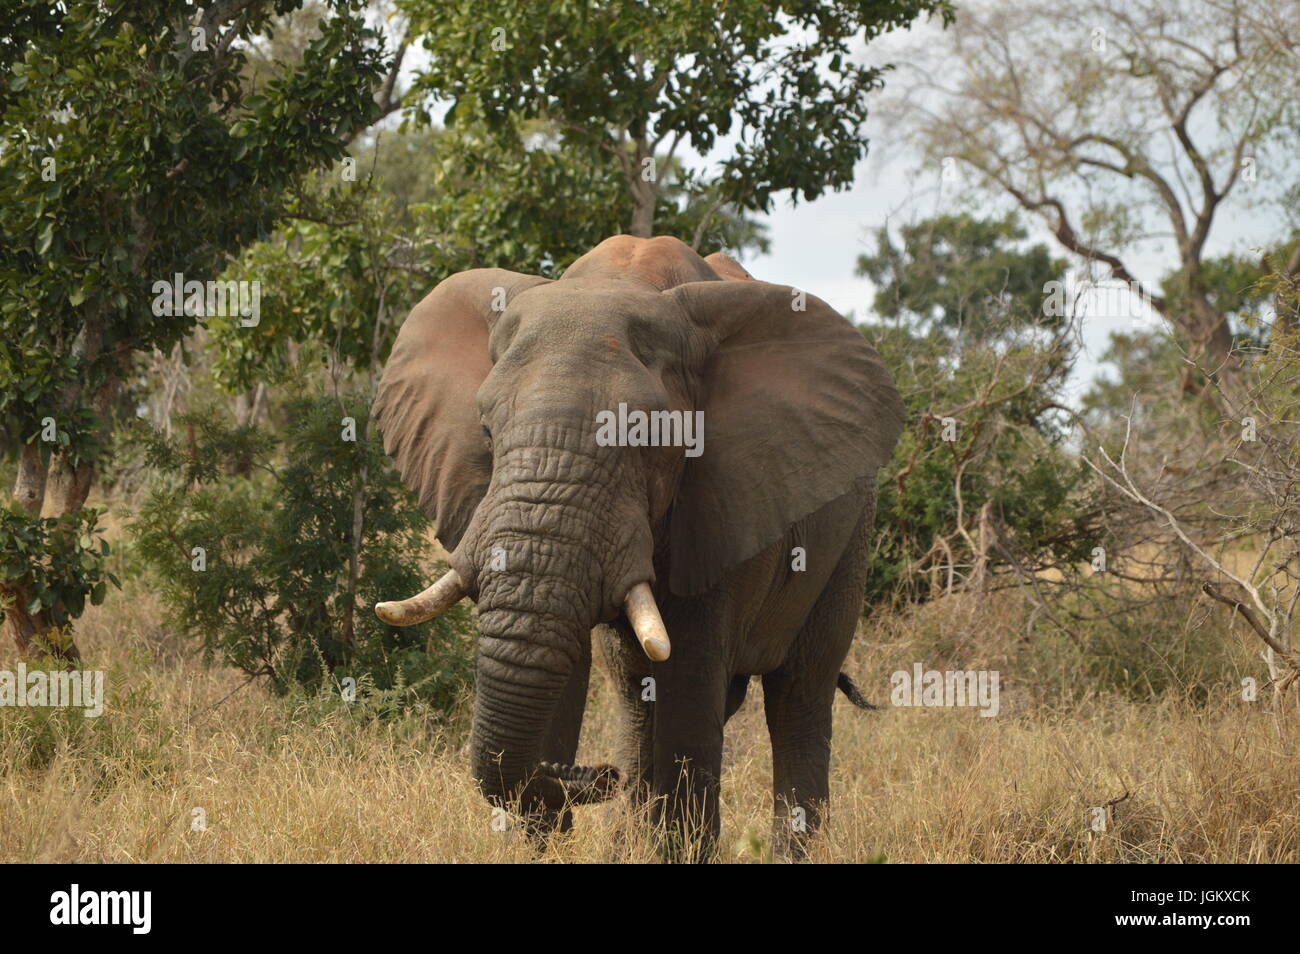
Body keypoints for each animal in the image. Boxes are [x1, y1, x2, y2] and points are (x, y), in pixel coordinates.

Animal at [372, 234, 904, 859]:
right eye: (485, 430)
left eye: (650, 438)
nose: (599, 775)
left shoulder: (721, 498)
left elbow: (690, 681)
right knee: (637, 693)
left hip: (852, 537)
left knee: (799, 694)